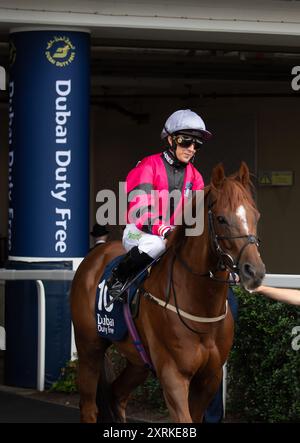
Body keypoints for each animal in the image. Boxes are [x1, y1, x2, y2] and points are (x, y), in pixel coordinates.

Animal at [70, 163, 264, 424]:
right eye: (221, 218)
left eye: (256, 215)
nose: (254, 271)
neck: (201, 309)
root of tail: (95, 254)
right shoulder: (173, 374)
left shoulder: (209, 378)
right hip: (89, 347)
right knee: (89, 407)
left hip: (138, 361)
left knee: (117, 394)